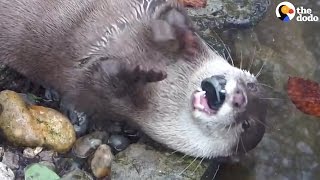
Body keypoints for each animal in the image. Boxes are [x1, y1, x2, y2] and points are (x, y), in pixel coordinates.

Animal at [0, 0, 266, 158]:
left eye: (246, 124)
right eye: (252, 85)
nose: (240, 98)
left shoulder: (102, 98)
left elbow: (102, 80)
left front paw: (140, 74)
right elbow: (171, 19)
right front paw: (184, 36)